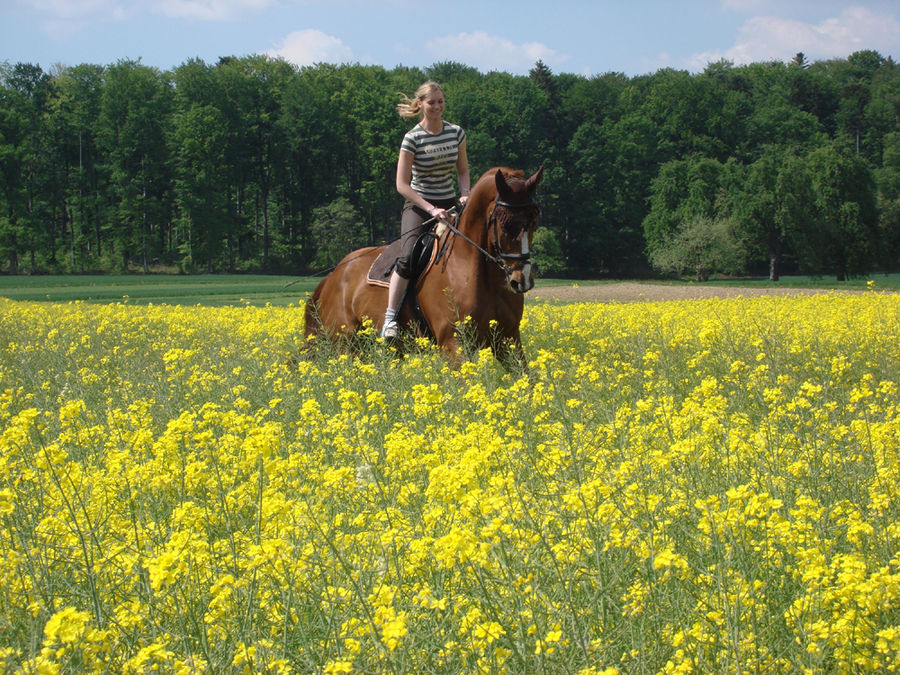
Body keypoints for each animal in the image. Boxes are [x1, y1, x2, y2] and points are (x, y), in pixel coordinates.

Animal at [304, 165, 540, 364]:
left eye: (534, 221)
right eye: (505, 223)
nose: (521, 281)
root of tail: (334, 274)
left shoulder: (509, 340)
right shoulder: (453, 344)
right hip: (346, 346)